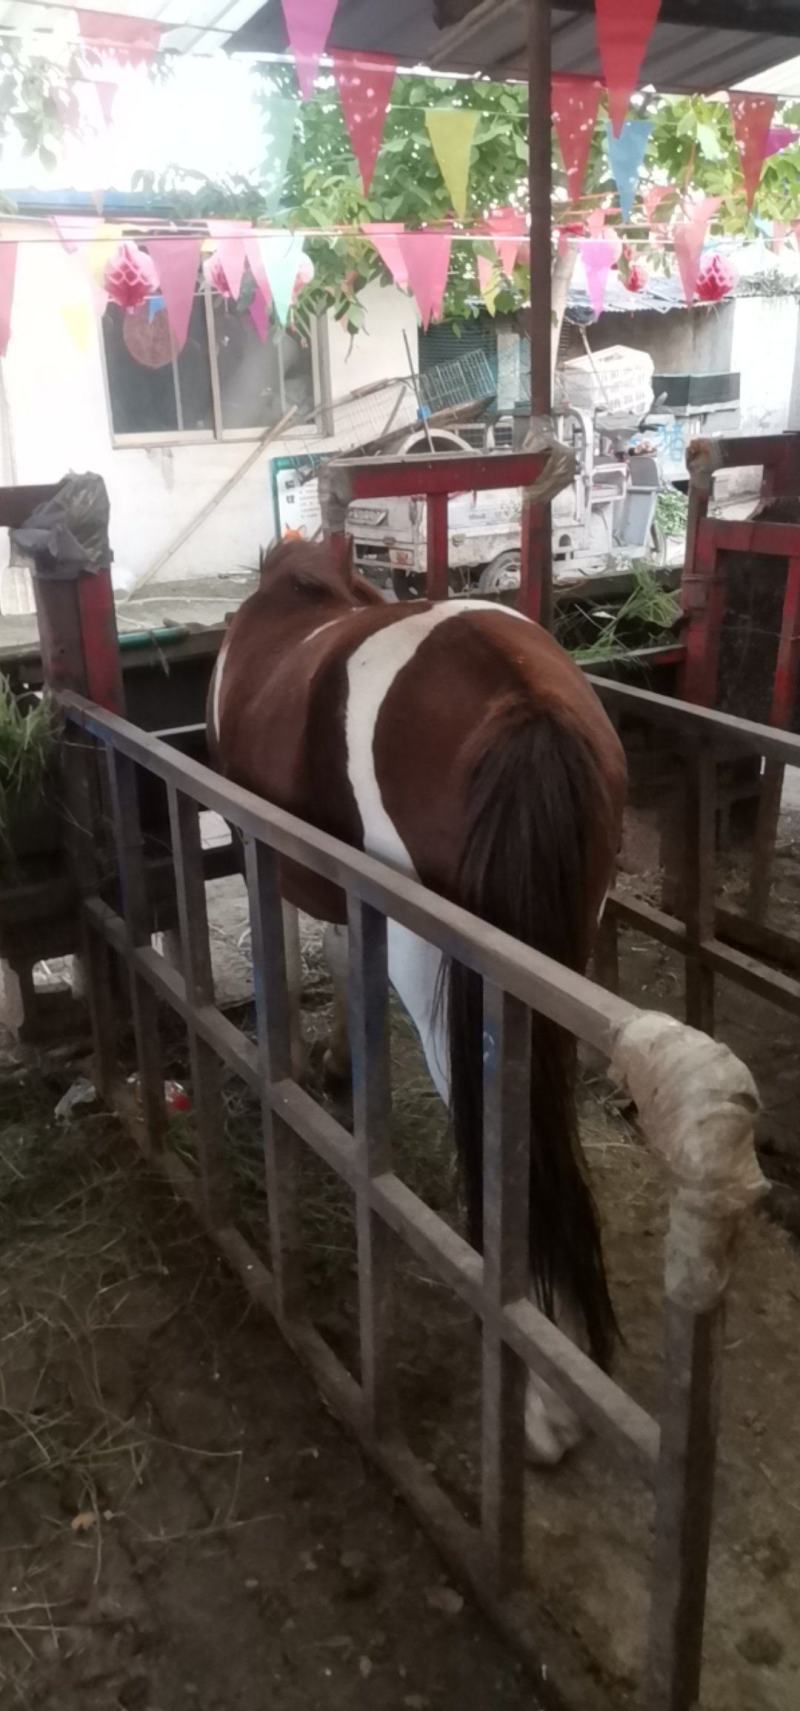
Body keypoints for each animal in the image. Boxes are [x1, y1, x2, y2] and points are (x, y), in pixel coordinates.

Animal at [208, 537, 627, 1464]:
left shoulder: (270, 857)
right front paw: (337, 1057)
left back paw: (542, 1398)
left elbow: (288, 958)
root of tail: (521, 700)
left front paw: (304, 1063)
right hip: (558, 967)